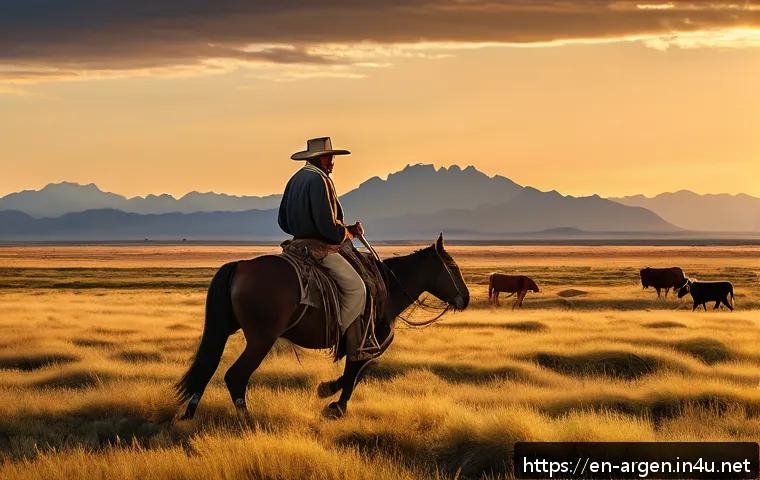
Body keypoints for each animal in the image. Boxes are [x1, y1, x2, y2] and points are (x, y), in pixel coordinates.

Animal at [175, 233, 469, 420]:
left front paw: (329, 393)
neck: (389, 290)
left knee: (208, 366)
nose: (465, 298)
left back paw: (190, 412)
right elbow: (355, 371)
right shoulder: (368, 339)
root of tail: (239, 266)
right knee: (235, 375)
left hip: (225, 329)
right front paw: (334, 404)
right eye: (453, 266)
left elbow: (355, 370)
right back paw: (247, 420)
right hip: (261, 339)